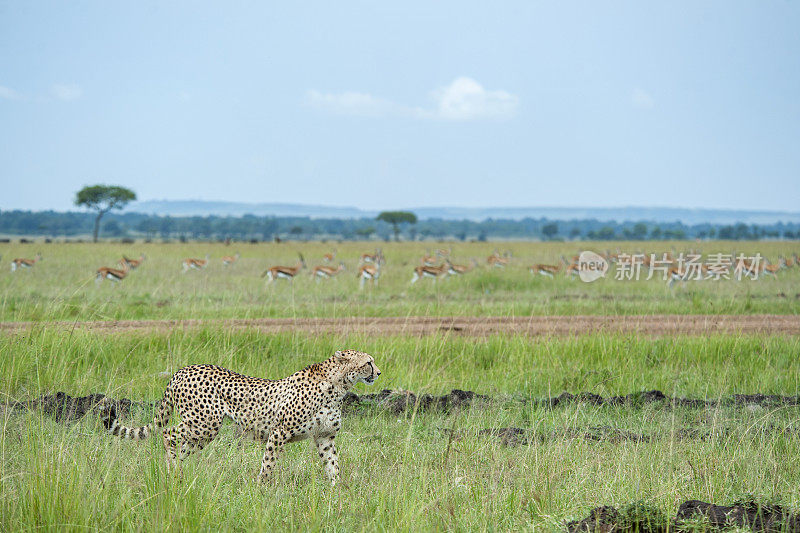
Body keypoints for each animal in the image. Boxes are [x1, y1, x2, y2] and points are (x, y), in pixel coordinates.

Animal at [99, 350, 382, 482]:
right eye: (368, 362)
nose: (378, 373)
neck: (338, 385)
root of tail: (182, 370)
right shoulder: (278, 433)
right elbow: (268, 465)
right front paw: (261, 489)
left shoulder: (325, 437)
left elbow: (333, 466)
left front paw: (337, 492)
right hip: (203, 423)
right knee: (169, 435)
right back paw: (171, 471)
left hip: (202, 431)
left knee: (182, 446)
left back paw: (179, 474)